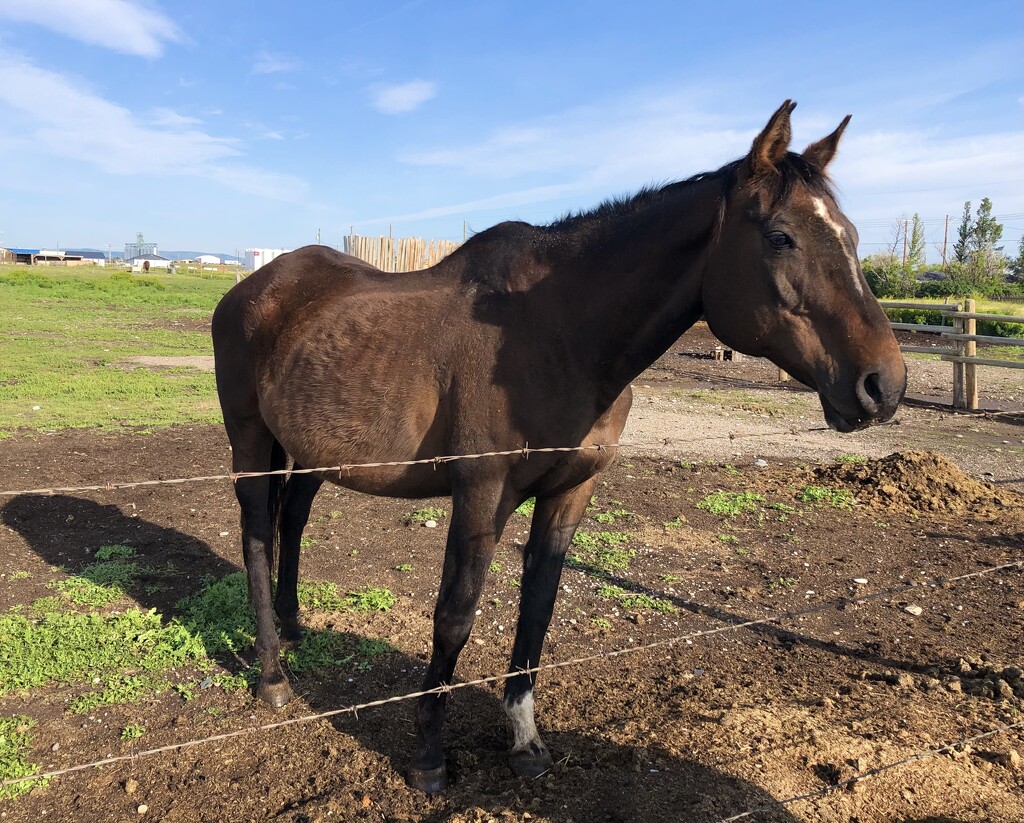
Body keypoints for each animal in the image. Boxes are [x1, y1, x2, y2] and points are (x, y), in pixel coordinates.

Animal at [214, 101, 905, 790]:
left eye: (851, 235)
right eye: (781, 236)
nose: (884, 384)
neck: (557, 333)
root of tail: (254, 287)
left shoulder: (572, 492)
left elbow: (538, 607)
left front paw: (524, 740)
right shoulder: (480, 493)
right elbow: (454, 617)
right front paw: (430, 756)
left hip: (315, 449)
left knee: (293, 518)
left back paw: (294, 627)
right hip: (250, 437)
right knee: (256, 534)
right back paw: (272, 675)